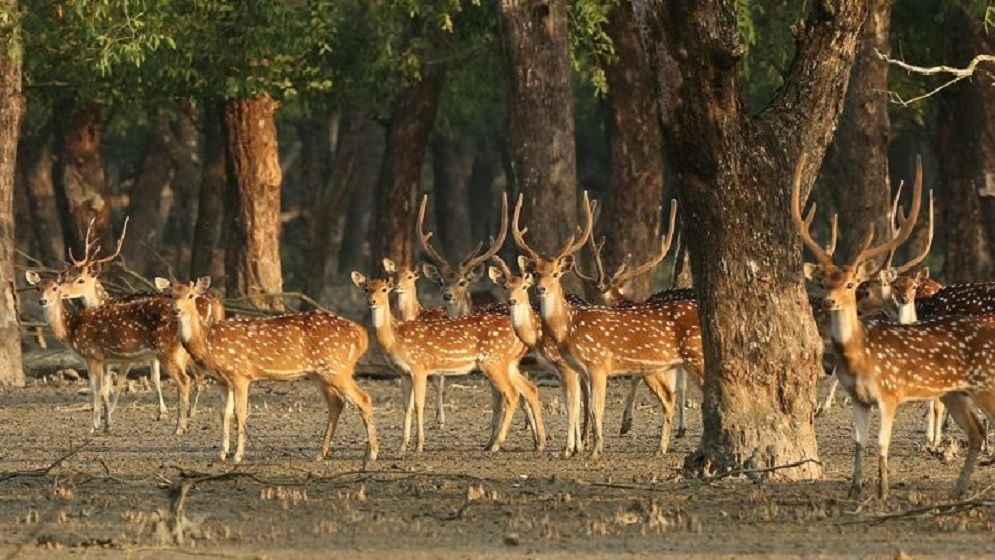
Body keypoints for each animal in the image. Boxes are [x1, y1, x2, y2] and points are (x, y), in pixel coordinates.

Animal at [25, 270, 196, 436]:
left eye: (56, 288)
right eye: (37, 287)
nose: (43, 301)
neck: (70, 330)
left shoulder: (92, 354)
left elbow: (96, 388)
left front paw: (94, 426)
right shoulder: (105, 359)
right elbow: (105, 389)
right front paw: (107, 425)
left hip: (165, 348)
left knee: (183, 380)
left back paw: (179, 428)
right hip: (179, 352)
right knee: (187, 378)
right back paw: (184, 424)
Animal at [156, 276, 378, 464]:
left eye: (191, 295)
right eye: (170, 295)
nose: (176, 310)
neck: (207, 343)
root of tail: (362, 335)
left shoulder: (240, 374)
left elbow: (240, 413)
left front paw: (237, 456)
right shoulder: (222, 380)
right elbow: (224, 414)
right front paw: (222, 453)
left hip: (337, 368)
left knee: (364, 398)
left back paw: (373, 454)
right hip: (320, 374)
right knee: (336, 404)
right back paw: (320, 454)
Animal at [350, 272, 544, 456]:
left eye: (384, 289)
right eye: (366, 288)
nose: (372, 301)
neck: (395, 338)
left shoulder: (420, 366)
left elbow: (419, 405)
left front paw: (419, 446)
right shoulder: (404, 373)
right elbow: (406, 406)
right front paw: (402, 446)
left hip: (494, 361)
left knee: (512, 394)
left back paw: (497, 444)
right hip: (508, 363)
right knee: (530, 389)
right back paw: (539, 442)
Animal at [510, 192, 704, 460]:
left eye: (556, 274)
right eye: (535, 273)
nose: (541, 289)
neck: (569, 328)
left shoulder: (598, 363)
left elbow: (595, 408)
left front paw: (594, 450)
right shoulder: (580, 369)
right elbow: (577, 405)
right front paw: (572, 449)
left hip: (695, 356)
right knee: (673, 397)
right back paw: (662, 448)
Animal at [792, 156, 995, 498]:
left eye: (853, 285)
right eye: (825, 281)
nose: (828, 302)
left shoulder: (889, 394)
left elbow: (882, 442)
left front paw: (883, 490)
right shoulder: (862, 399)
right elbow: (859, 443)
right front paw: (855, 489)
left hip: (985, 385)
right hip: (957, 392)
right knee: (976, 430)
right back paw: (957, 489)